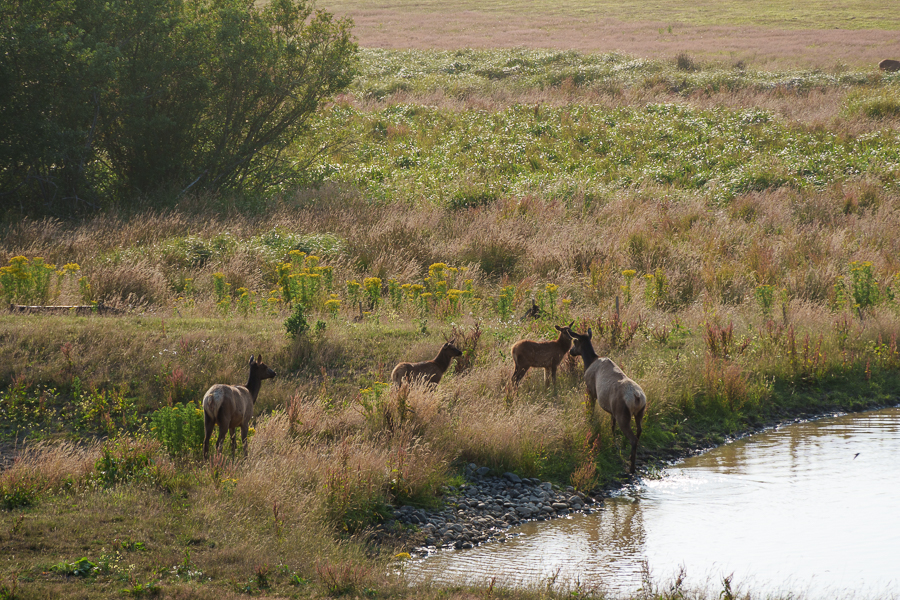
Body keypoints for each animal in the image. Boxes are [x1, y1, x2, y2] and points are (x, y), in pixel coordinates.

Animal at [564, 326, 646, 474]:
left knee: (633, 439)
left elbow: (590, 408)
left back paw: (631, 467)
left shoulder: (590, 388)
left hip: (623, 413)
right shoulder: (612, 410)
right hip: (639, 412)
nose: (571, 352)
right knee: (639, 431)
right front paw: (613, 440)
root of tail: (637, 397)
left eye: (574, 341)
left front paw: (589, 420)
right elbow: (612, 425)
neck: (589, 362)